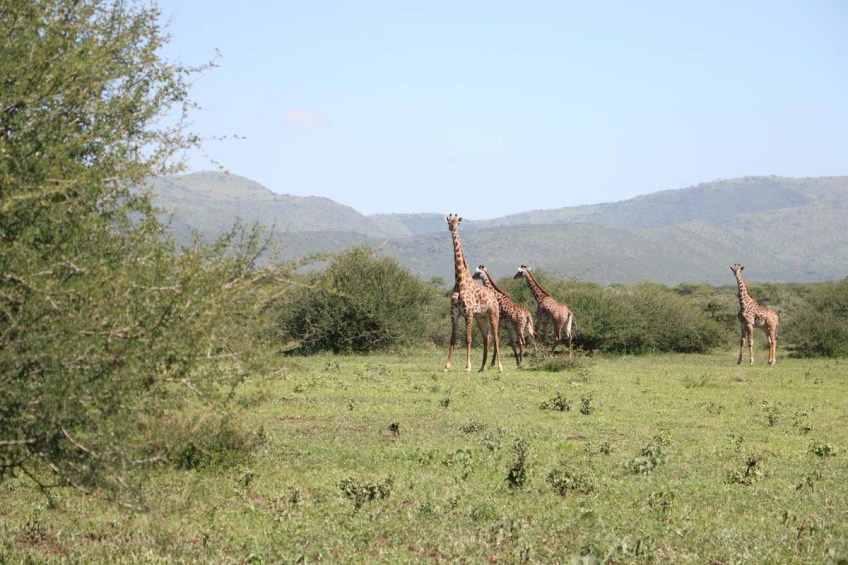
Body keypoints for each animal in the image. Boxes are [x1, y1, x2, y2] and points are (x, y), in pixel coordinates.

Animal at [443, 214, 503, 373]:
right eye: (449, 221)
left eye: (457, 222)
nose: (452, 228)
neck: (459, 281)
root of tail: (494, 296)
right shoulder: (454, 312)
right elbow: (453, 338)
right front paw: (447, 365)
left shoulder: (468, 312)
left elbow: (468, 338)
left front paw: (468, 366)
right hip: (481, 318)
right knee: (486, 337)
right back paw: (482, 367)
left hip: (493, 314)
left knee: (496, 337)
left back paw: (500, 367)